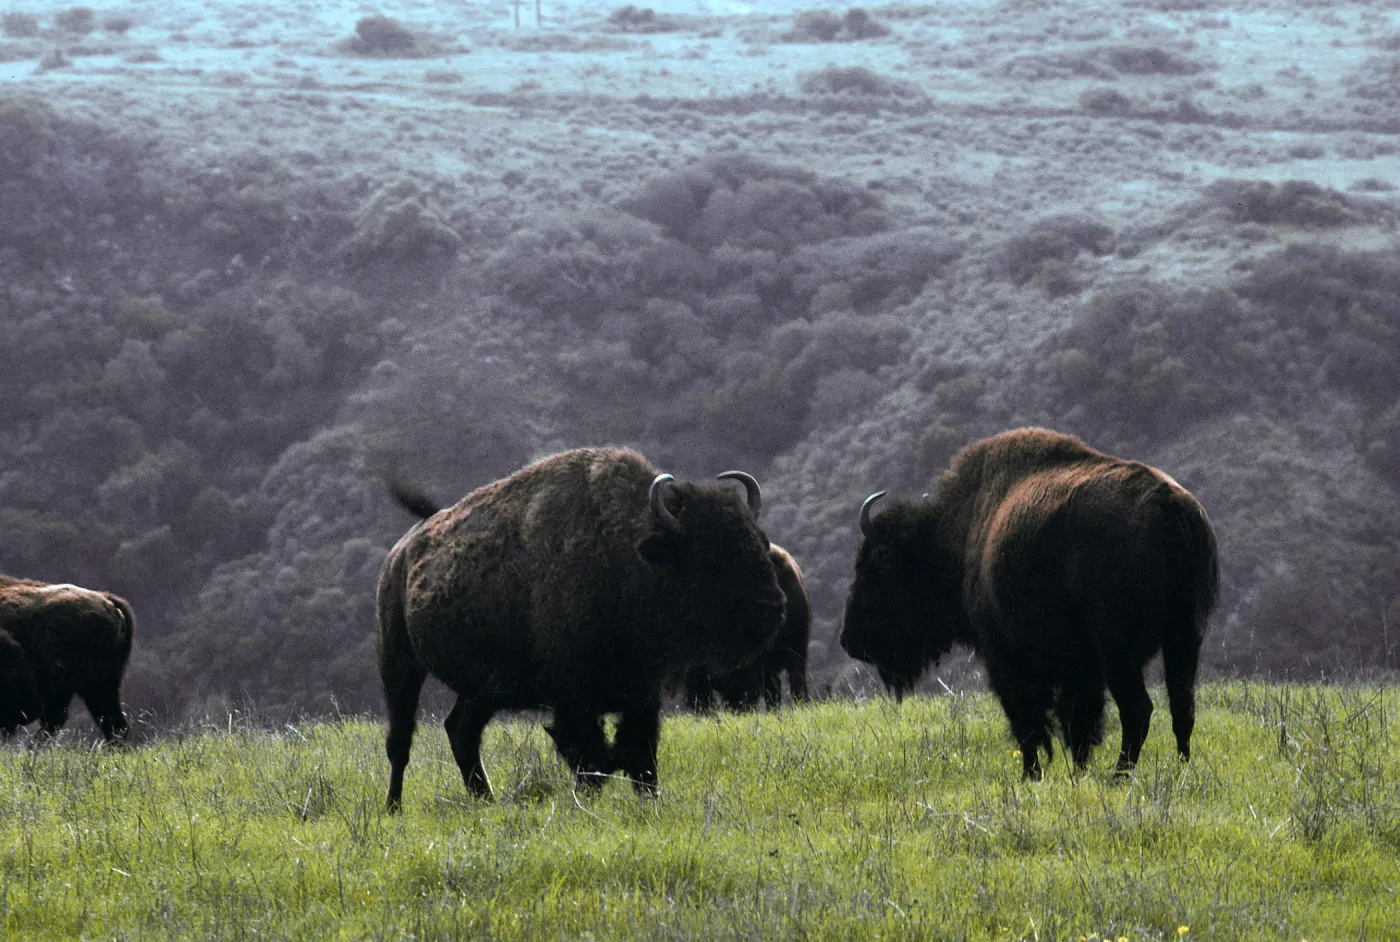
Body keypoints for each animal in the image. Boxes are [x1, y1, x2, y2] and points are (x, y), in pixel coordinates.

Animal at [377, 447, 785, 810]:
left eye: (760, 541)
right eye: (708, 553)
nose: (774, 606)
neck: (627, 553)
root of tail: (403, 553)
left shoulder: (643, 694)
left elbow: (641, 757)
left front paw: (649, 802)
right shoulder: (574, 700)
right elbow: (592, 757)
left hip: (482, 690)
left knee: (461, 731)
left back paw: (485, 800)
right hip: (400, 665)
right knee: (401, 740)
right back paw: (394, 807)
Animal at [840, 428, 1218, 779]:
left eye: (873, 567)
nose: (848, 640)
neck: (958, 534)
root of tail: (1174, 509)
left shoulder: (1005, 657)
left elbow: (1028, 722)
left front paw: (1031, 775)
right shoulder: (1079, 668)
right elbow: (1078, 721)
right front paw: (1077, 772)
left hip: (1120, 649)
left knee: (1138, 709)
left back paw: (1119, 776)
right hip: (1185, 637)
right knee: (1182, 705)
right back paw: (1181, 769)